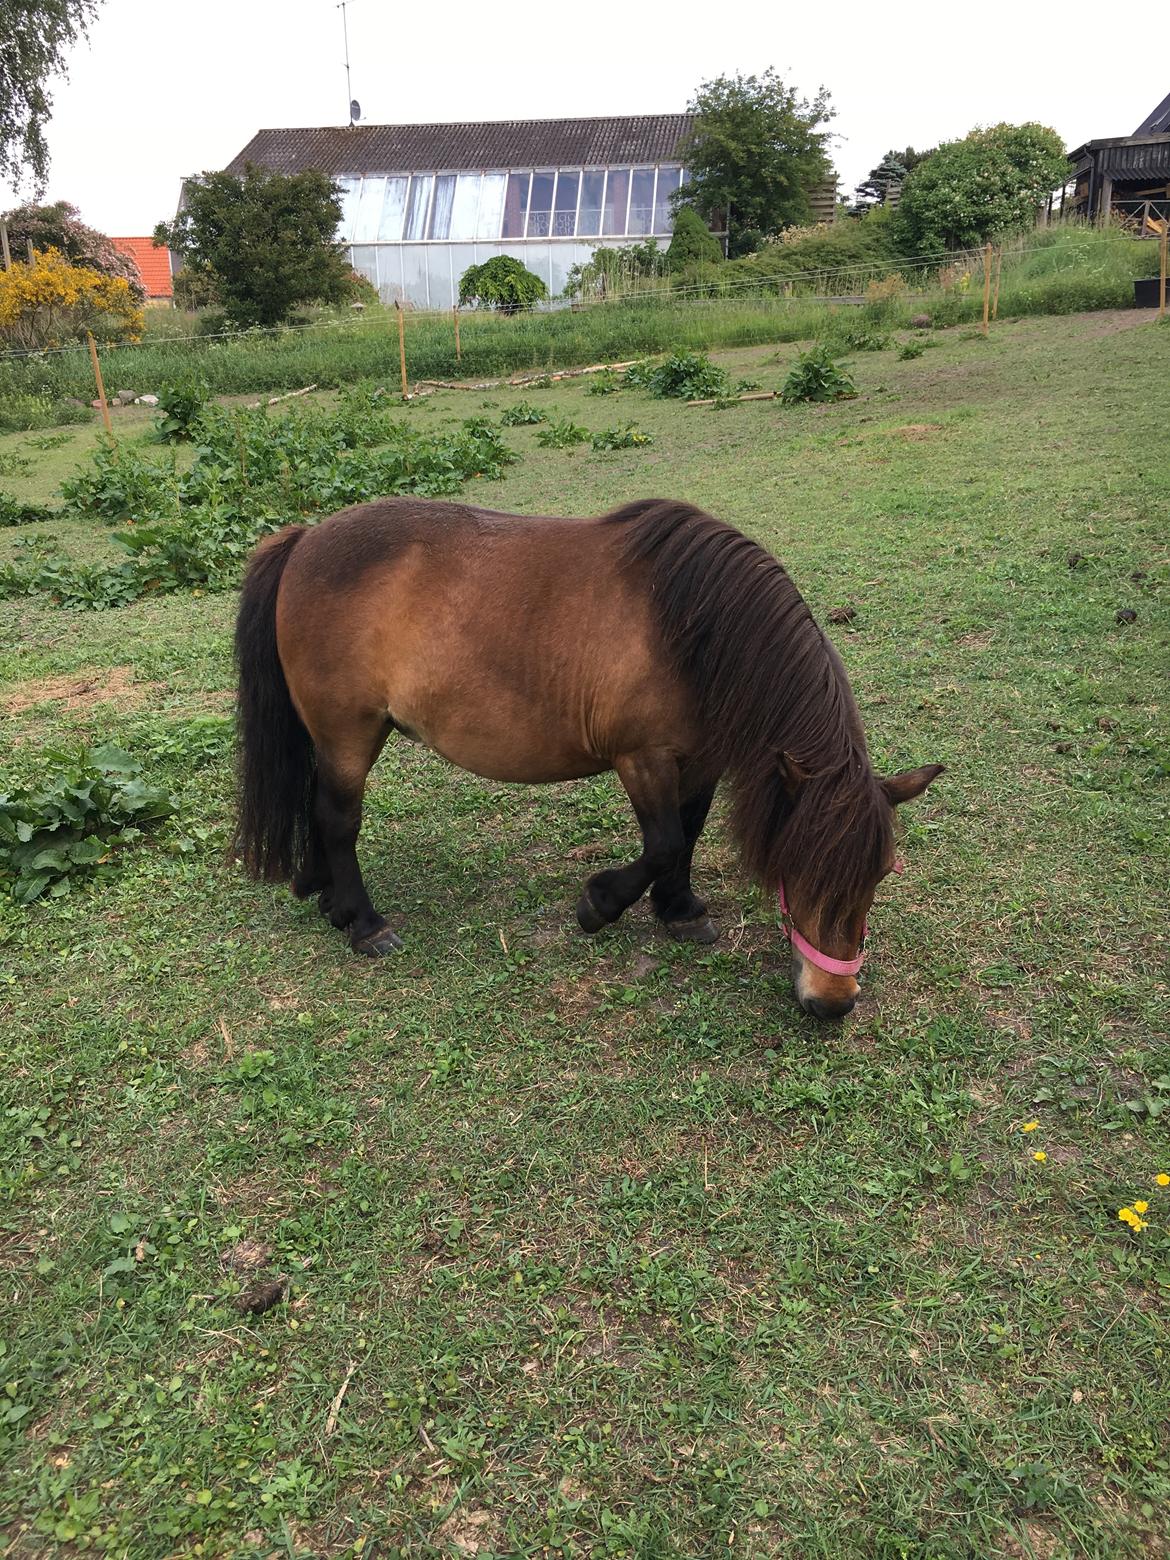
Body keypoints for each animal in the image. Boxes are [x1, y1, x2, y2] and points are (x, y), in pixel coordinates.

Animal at [235, 492, 942, 1017]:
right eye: (798, 869)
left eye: (880, 875)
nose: (833, 1003)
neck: (695, 629)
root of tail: (306, 539)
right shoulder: (642, 758)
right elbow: (661, 843)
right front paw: (598, 906)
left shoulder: (701, 761)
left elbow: (685, 839)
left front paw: (679, 912)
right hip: (349, 734)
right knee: (338, 820)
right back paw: (363, 923)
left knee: (320, 812)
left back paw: (327, 899)